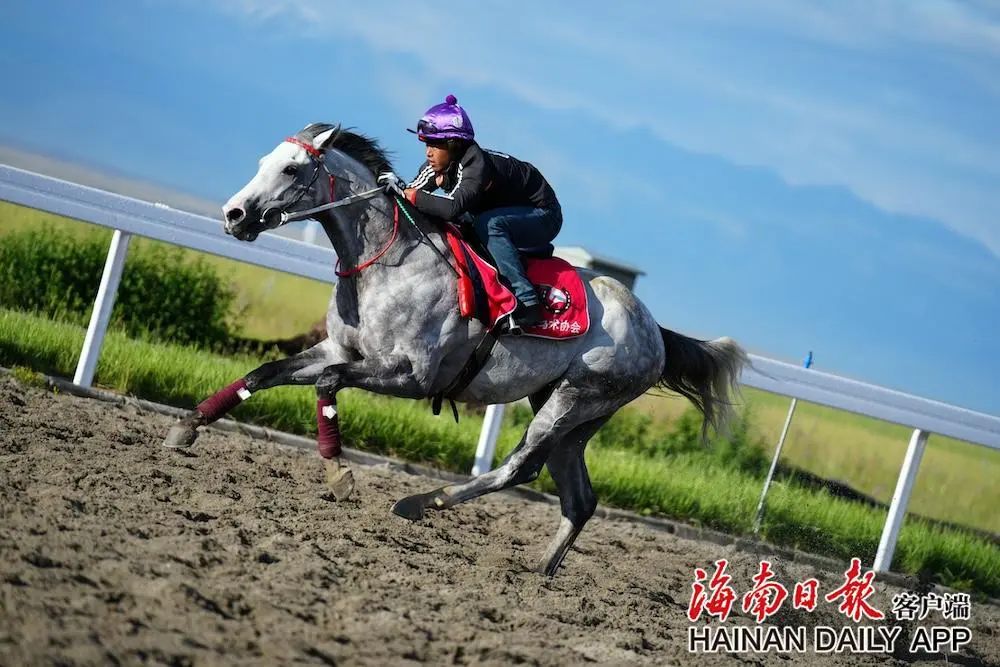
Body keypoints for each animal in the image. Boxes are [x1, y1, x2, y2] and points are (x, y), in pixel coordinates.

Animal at [164, 126, 748, 580]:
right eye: (264, 161)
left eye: (289, 168)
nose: (234, 214)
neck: (390, 261)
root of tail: (655, 330)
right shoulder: (338, 346)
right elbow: (266, 372)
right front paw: (186, 427)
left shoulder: (410, 375)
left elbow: (329, 382)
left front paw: (339, 474)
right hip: (571, 414)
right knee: (576, 497)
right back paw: (540, 572)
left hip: (576, 399)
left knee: (517, 469)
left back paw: (424, 502)